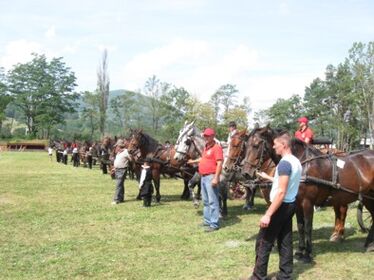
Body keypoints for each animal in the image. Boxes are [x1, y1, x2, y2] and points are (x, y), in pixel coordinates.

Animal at [241, 126, 374, 262]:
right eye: (245, 145)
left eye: (256, 145)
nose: (245, 172)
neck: (301, 164)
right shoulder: (297, 204)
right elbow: (300, 226)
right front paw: (300, 251)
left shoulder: (307, 203)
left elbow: (308, 226)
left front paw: (308, 254)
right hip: (367, 198)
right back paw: (368, 243)